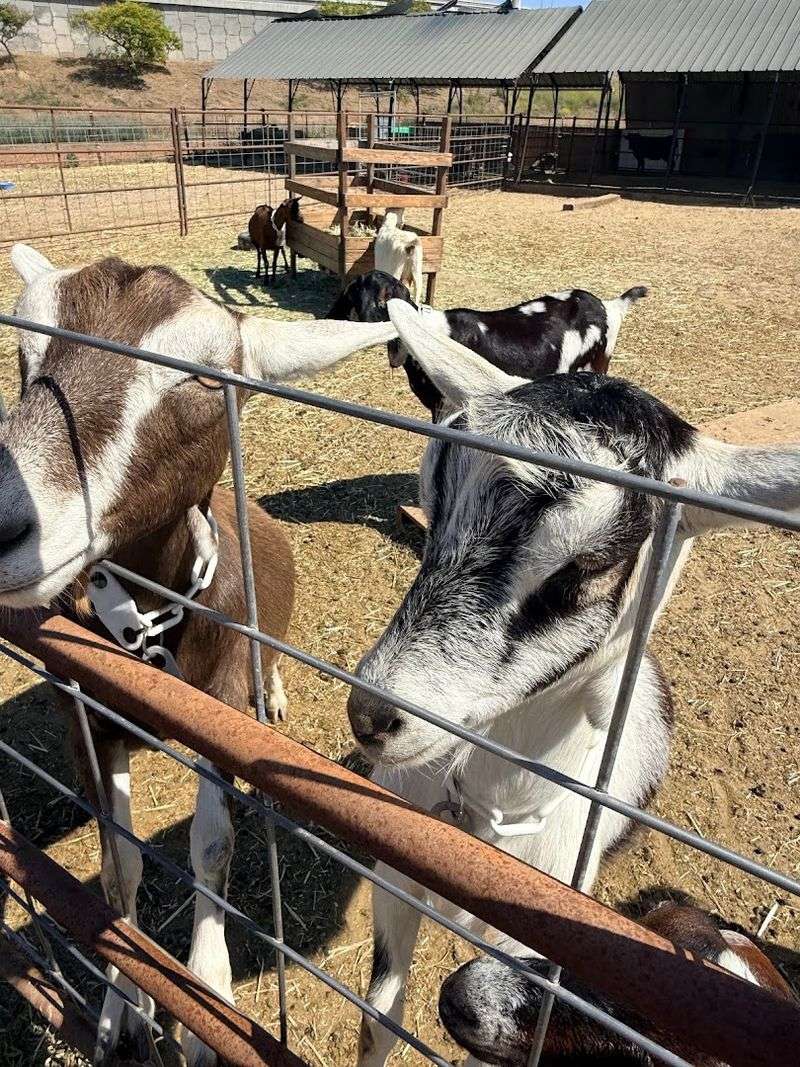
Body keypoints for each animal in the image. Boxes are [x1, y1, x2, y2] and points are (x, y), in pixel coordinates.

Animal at [4, 244, 397, 1067]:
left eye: (202, 378)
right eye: (24, 352)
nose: (4, 519)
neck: (154, 627)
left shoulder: (220, 706)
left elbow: (212, 844)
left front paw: (205, 999)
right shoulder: (86, 712)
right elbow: (117, 861)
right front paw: (124, 1005)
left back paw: (276, 697)